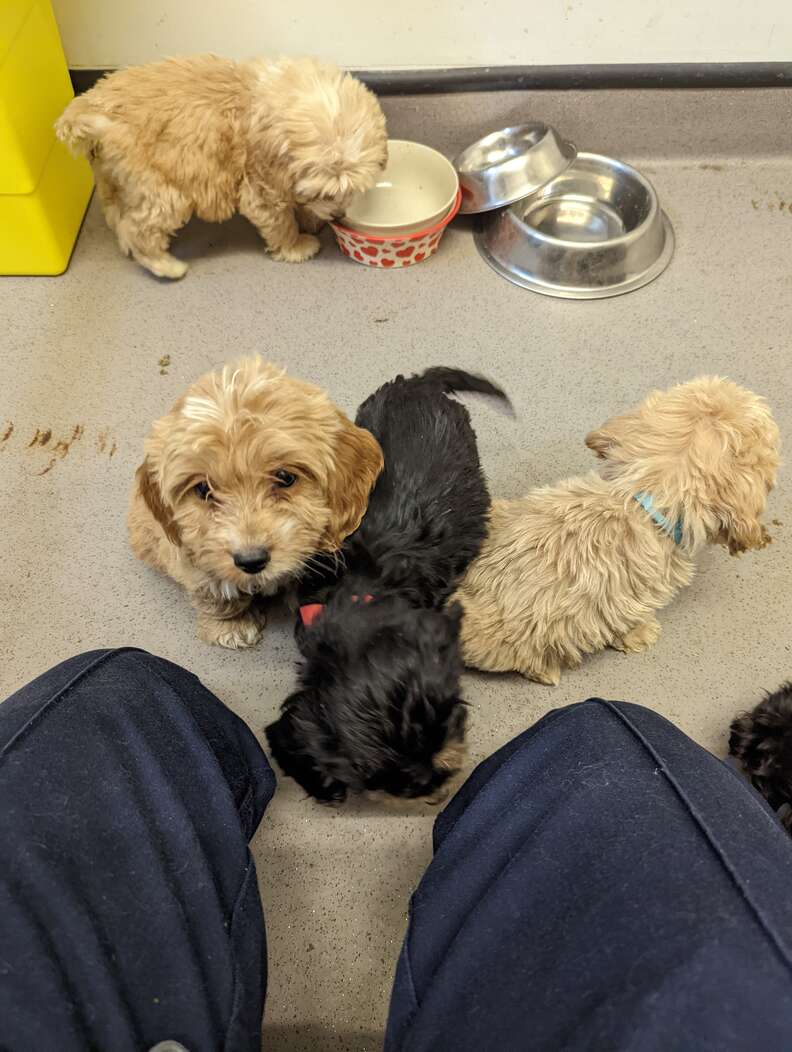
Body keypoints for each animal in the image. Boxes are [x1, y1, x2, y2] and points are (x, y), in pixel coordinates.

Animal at [128, 357, 382, 643]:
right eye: (203, 488)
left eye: (285, 477)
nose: (251, 561)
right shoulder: (190, 552)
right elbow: (212, 590)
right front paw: (230, 625)